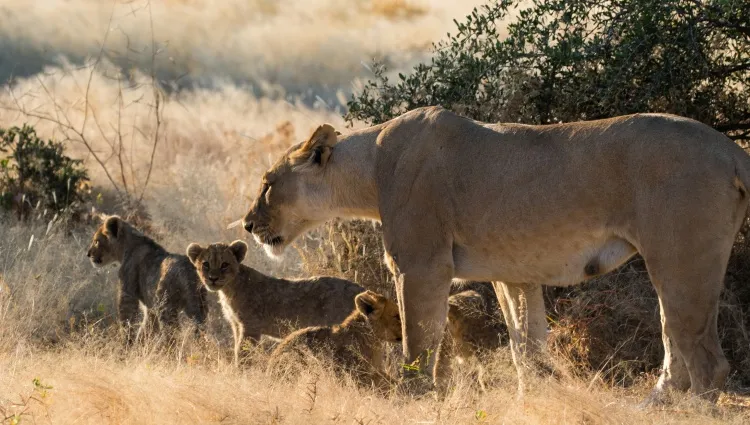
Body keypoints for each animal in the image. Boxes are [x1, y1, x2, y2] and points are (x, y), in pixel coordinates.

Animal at [242, 105, 750, 400]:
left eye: (268, 184)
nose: (247, 224)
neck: (370, 167)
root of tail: (730, 148)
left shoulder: (421, 265)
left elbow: (418, 342)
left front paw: (412, 397)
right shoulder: (513, 273)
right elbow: (527, 347)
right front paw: (534, 400)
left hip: (682, 258)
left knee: (710, 363)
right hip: (673, 265)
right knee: (675, 343)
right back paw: (654, 402)